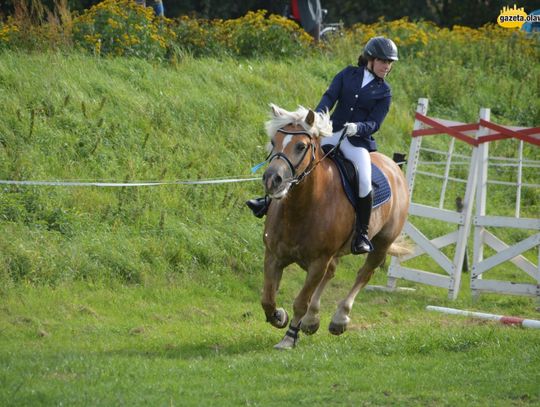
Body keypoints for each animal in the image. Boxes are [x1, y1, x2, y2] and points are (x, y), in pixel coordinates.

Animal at [260, 105, 410, 350]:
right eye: (274, 141)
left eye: (301, 146)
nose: (272, 179)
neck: (301, 208)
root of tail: (394, 167)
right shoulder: (273, 255)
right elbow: (267, 298)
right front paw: (279, 316)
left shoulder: (318, 261)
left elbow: (301, 301)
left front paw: (290, 337)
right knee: (332, 273)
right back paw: (312, 321)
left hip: (381, 244)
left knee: (364, 274)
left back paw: (339, 319)